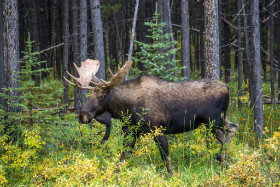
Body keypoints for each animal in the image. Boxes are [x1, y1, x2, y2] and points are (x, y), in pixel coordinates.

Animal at [63, 58, 238, 174]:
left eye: (101, 96)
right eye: (90, 95)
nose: (82, 115)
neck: (126, 108)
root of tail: (228, 87)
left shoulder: (157, 129)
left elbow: (166, 159)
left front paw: (172, 176)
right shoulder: (131, 132)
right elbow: (122, 158)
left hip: (214, 119)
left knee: (233, 128)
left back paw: (223, 159)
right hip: (211, 122)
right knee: (226, 133)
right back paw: (222, 159)